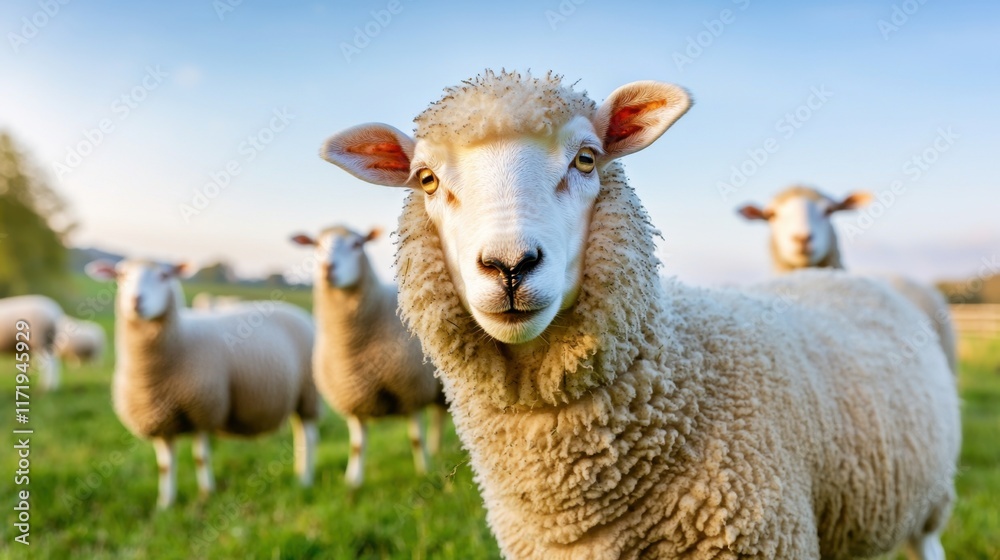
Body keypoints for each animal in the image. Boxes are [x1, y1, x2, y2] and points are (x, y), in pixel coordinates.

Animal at [85, 258, 319, 509]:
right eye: (121, 276)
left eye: (164, 276)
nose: (136, 301)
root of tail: (298, 311)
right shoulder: (159, 421)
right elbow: (165, 466)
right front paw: (165, 504)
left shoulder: (203, 409)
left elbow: (201, 458)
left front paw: (207, 494)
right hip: (298, 398)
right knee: (299, 434)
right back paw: (299, 473)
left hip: (309, 394)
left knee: (309, 437)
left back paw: (305, 481)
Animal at [290, 225, 446, 487]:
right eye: (317, 245)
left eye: (356, 244)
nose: (327, 268)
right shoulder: (353, 395)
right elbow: (356, 446)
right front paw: (353, 481)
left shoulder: (411, 389)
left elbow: (416, 439)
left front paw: (424, 472)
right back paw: (436, 450)